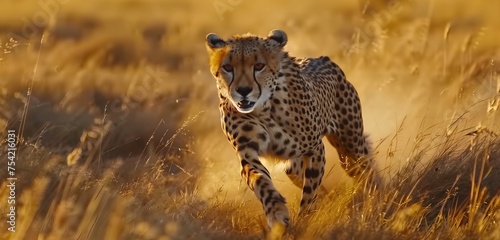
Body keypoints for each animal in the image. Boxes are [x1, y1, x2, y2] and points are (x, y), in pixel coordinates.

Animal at [203, 29, 378, 236]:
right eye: (228, 67)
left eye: (259, 66)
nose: (243, 90)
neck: (264, 108)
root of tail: (322, 58)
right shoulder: (247, 152)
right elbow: (261, 181)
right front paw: (277, 213)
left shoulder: (315, 149)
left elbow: (310, 191)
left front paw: (304, 221)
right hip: (295, 164)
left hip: (350, 148)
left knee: (365, 169)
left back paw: (375, 197)